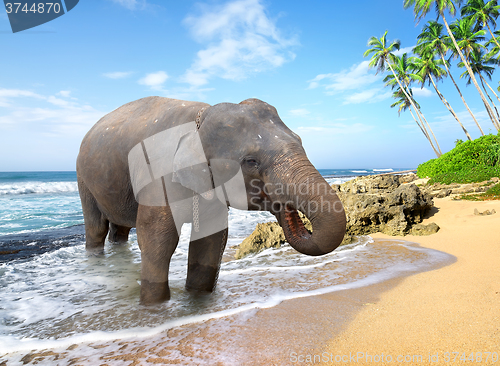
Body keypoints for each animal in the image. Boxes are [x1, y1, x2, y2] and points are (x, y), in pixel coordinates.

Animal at [76, 96, 346, 304]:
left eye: (300, 140)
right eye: (251, 161)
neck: (200, 119)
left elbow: (210, 240)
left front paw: (197, 299)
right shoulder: (157, 178)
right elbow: (157, 240)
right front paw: (154, 307)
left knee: (120, 230)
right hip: (83, 179)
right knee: (96, 227)